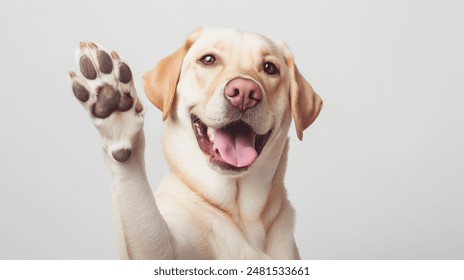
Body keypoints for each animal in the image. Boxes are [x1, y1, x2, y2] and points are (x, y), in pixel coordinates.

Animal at [68, 27, 322, 260]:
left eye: (270, 68)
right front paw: (114, 108)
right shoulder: (164, 247)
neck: (240, 214)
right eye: (208, 59)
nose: (244, 92)